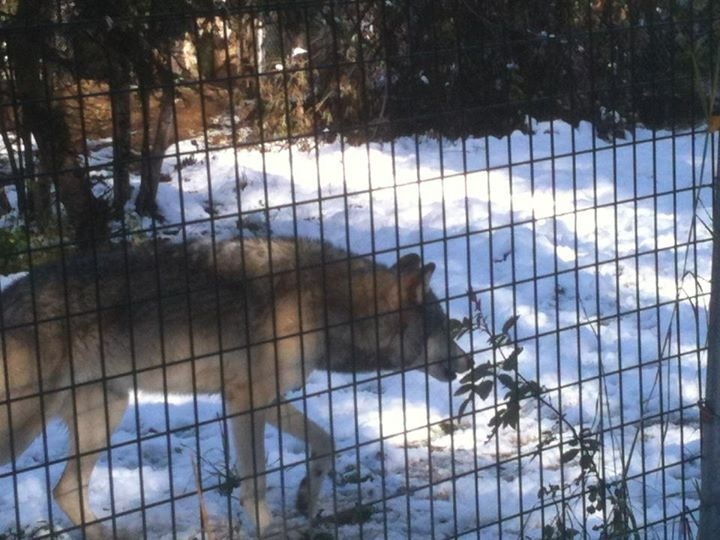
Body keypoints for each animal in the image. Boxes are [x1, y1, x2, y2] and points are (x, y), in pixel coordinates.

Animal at [0, 236, 471, 537]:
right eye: (444, 328)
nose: (468, 364)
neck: (325, 304)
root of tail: (10, 296)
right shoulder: (247, 402)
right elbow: (256, 479)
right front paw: (269, 528)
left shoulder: (263, 397)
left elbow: (326, 442)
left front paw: (307, 496)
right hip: (25, 430)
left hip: (106, 414)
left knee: (64, 489)